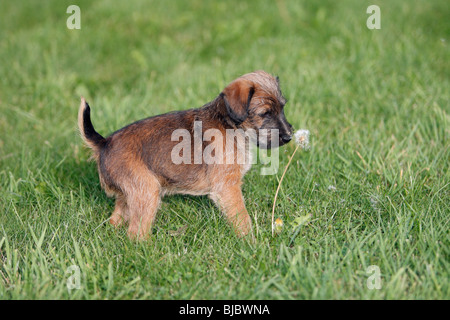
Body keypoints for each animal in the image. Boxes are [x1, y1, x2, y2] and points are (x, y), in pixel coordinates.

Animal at [79, 70, 294, 240]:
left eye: (283, 108)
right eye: (265, 113)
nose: (289, 136)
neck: (231, 125)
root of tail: (104, 142)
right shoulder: (228, 187)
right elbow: (242, 217)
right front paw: (250, 241)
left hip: (130, 194)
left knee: (117, 219)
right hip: (147, 190)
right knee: (136, 234)